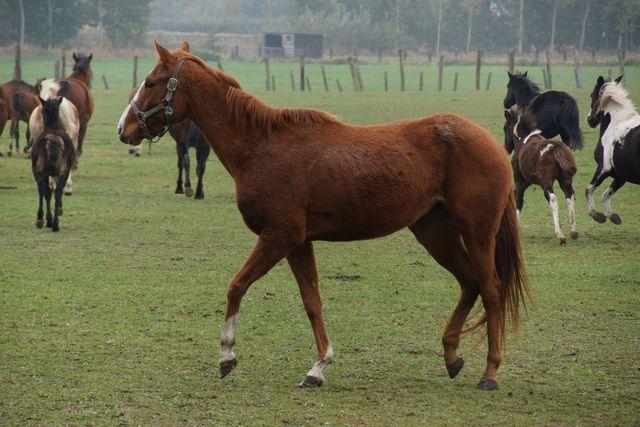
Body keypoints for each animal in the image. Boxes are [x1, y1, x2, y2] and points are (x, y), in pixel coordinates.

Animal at [30, 97, 77, 232]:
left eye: (43, 109)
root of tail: (53, 140)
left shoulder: (40, 171)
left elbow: (46, 191)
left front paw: (46, 218)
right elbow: (54, 189)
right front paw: (58, 211)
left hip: (39, 169)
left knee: (43, 190)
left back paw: (41, 219)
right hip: (64, 170)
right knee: (58, 191)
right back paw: (56, 223)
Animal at [117, 42, 528, 392]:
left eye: (150, 82)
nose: (124, 129)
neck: (262, 147)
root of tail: (494, 143)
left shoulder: (278, 237)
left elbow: (236, 286)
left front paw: (227, 355)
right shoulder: (298, 243)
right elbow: (312, 302)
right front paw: (318, 367)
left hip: (477, 233)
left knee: (491, 289)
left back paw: (490, 372)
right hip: (434, 232)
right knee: (469, 283)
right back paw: (452, 355)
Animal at [504, 108, 580, 246]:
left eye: (505, 128)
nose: (506, 148)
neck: (522, 141)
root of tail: (555, 147)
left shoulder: (520, 181)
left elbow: (518, 200)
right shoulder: (527, 181)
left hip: (547, 183)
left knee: (553, 199)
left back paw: (560, 235)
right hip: (565, 181)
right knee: (570, 197)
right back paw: (573, 231)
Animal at [584, 75, 640, 226]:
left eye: (592, 95)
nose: (589, 120)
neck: (616, 123)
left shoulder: (604, 168)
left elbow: (589, 189)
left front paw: (596, 214)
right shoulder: (621, 175)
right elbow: (606, 194)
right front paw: (612, 215)